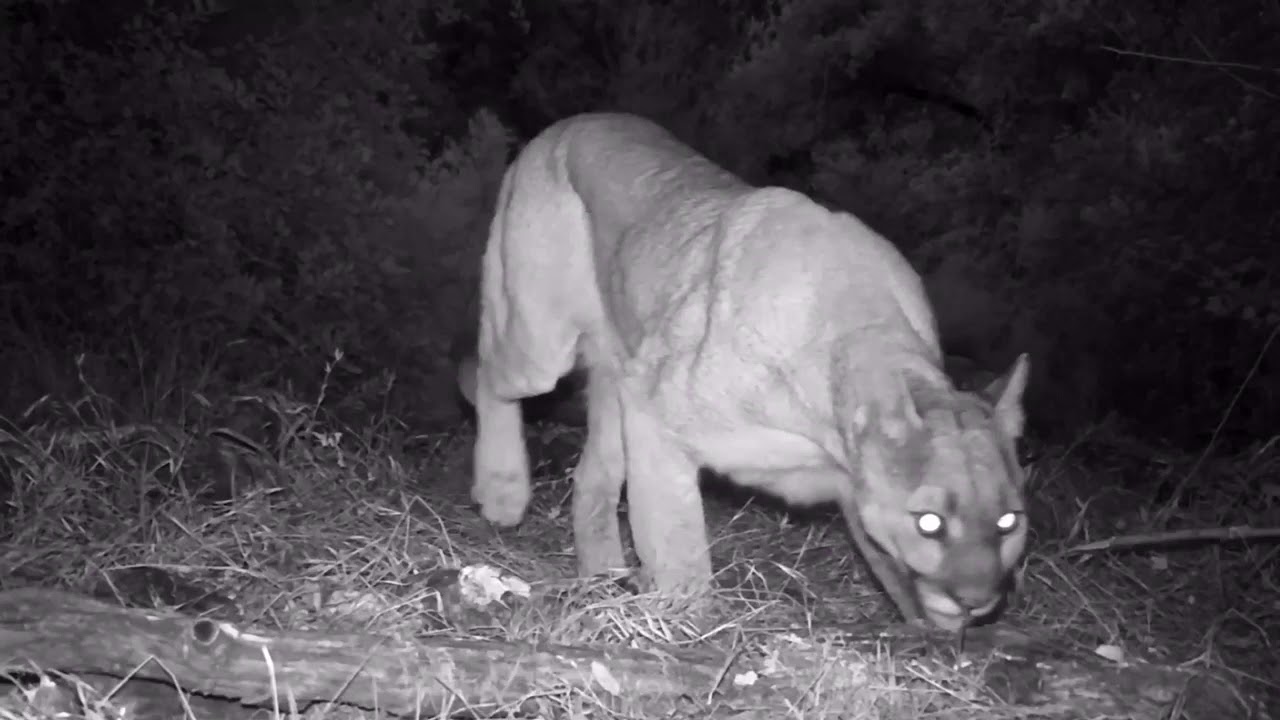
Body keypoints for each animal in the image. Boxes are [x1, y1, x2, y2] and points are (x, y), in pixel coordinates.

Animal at [457, 112, 1031, 631]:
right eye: (929, 522)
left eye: (1008, 522)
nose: (978, 600)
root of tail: (568, 123)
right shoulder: (655, 413)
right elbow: (677, 535)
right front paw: (685, 621)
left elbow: (889, 564)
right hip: (540, 344)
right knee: (480, 372)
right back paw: (504, 489)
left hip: (617, 369)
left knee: (591, 475)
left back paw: (602, 578)